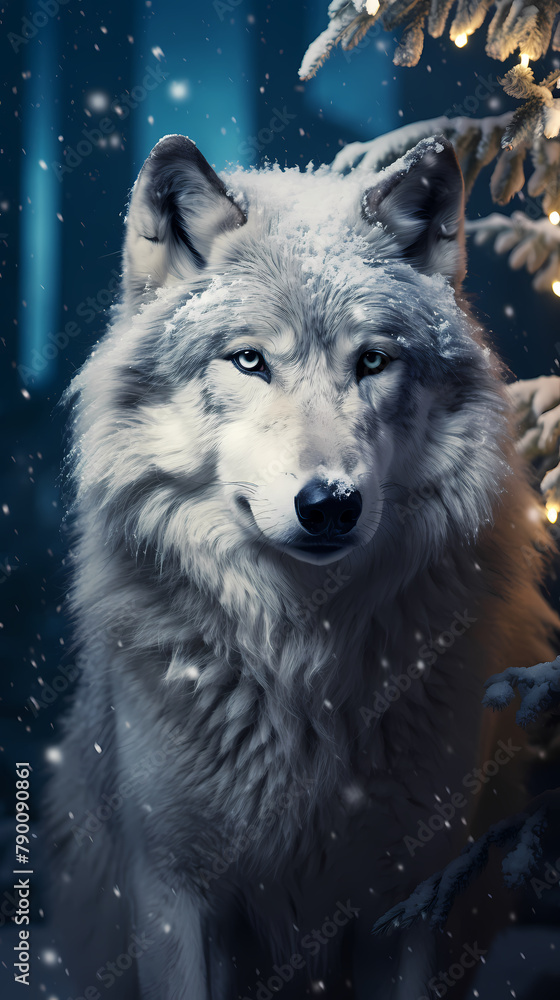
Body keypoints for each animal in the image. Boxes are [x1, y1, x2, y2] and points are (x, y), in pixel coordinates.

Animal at [47, 133, 558, 1000]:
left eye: (373, 361)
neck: (301, 667)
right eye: (250, 361)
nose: (330, 504)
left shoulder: (410, 892)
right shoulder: (170, 889)